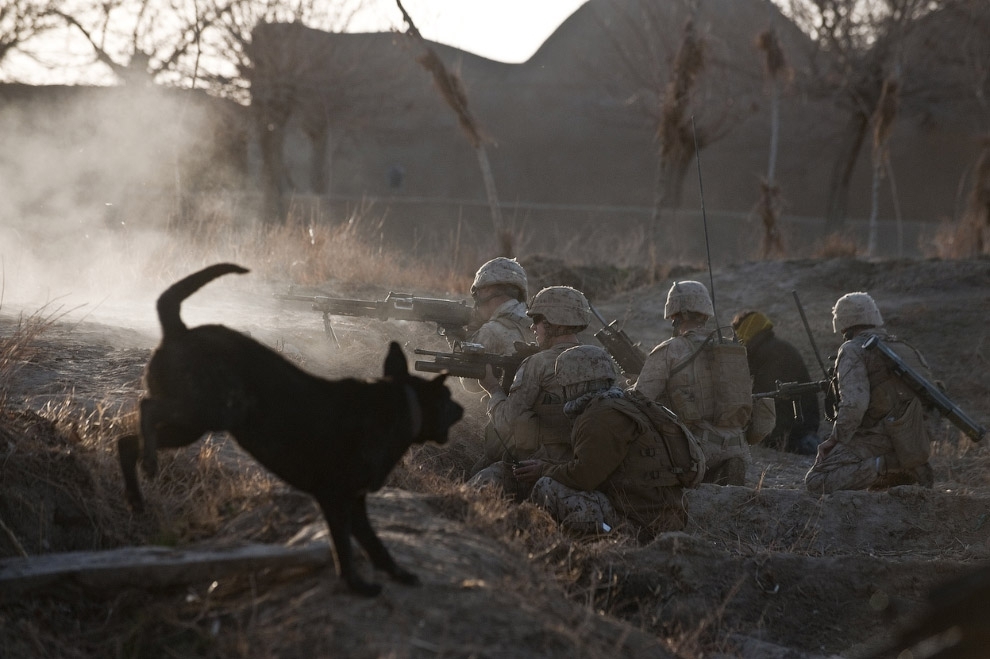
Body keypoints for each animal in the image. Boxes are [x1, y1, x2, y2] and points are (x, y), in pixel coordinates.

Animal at [118, 264, 466, 600]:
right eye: (448, 399)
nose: (462, 409)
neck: (394, 404)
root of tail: (180, 330)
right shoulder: (335, 497)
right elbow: (346, 546)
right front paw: (358, 583)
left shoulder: (351, 500)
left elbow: (371, 544)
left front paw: (393, 575)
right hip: (205, 412)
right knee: (147, 408)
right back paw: (149, 464)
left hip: (193, 422)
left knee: (128, 439)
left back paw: (138, 490)